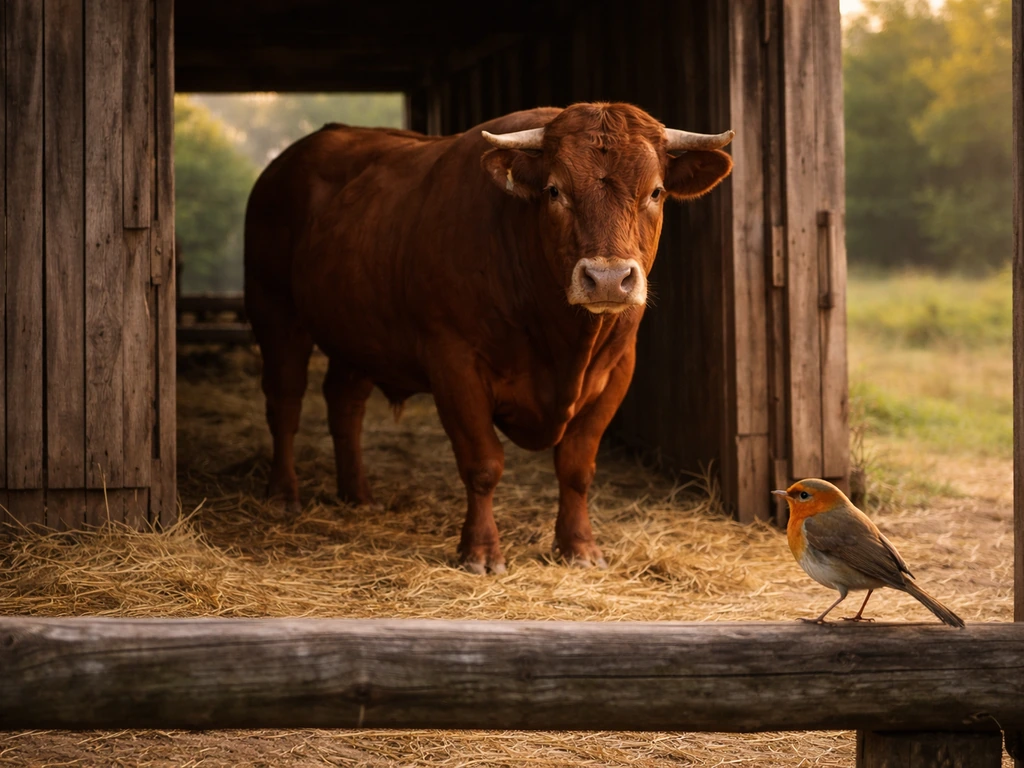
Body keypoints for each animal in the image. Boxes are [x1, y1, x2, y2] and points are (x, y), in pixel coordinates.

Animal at [244, 102, 733, 574]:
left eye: (655, 192)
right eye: (554, 191)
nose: (608, 279)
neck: (563, 340)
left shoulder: (617, 369)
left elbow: (577, 467)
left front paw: (579, 548)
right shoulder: (454, 362)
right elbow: (482, 464)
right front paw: (480, 551)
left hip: (358, 331)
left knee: (345, 405)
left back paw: (358, 496)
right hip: (275, 309)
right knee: (284, 403)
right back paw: (283, 495)